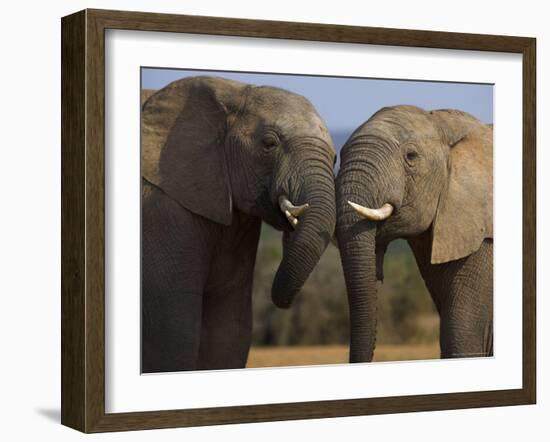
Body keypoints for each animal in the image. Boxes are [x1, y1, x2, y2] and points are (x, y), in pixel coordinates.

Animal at [141, 76, 336, 372]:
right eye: (269, 143)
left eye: (335, 157)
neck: (233, 91)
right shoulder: (162, 210)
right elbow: (174, 334)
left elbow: (229, 330)